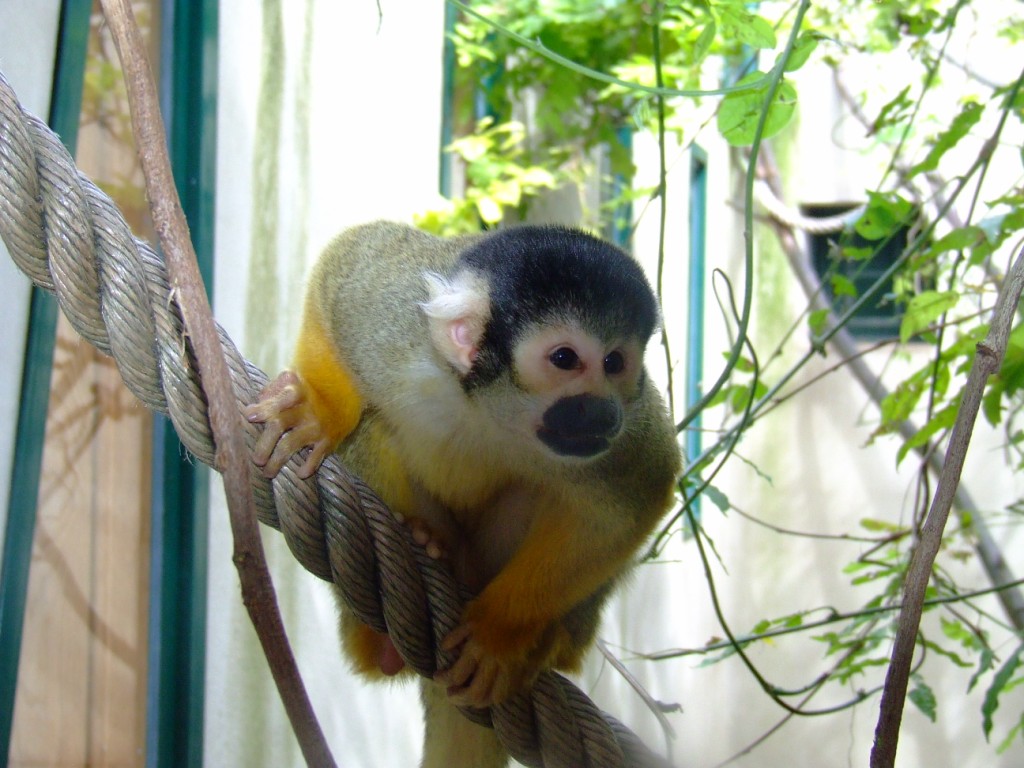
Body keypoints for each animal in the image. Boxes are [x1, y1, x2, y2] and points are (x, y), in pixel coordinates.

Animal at [244, 220, 681, 767]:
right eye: (565, 359)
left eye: (616, 362)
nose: (603, 412)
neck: (492, 407)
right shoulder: (393, 324)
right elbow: (344, 265)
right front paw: (317, 410)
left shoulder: (627, 431)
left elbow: (637, 495)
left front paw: (501, 633)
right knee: (373, 427)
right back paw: (410, 572)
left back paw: (547, 642)